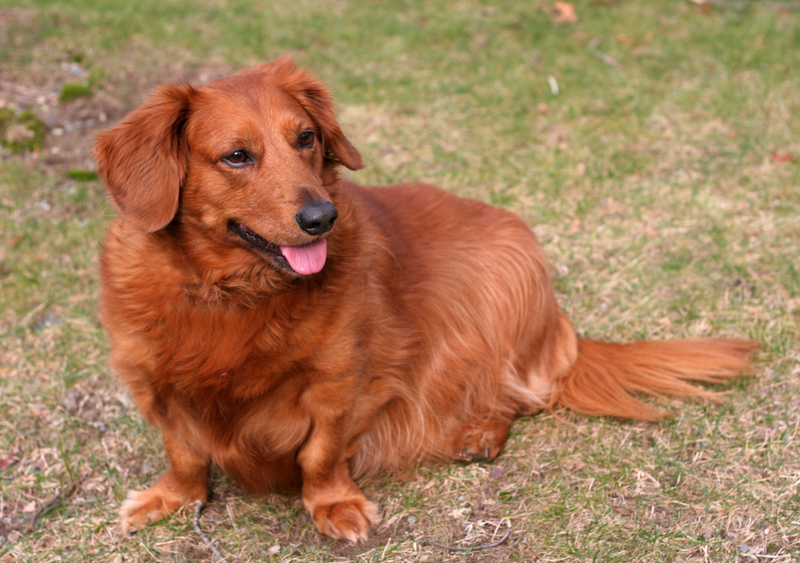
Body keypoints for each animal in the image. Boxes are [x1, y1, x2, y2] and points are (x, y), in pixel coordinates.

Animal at [94, 56, 756, 540]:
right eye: (237, 155)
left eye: (305, 138)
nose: (322, 217)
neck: (231, 296)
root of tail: (559, 323)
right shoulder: (153, 384)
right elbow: (184, 452)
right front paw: (172, 497)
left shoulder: (339, 382)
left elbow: (319, 455)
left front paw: (333, 505)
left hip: (498, 299)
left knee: (523, 394)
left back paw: (481, 431)